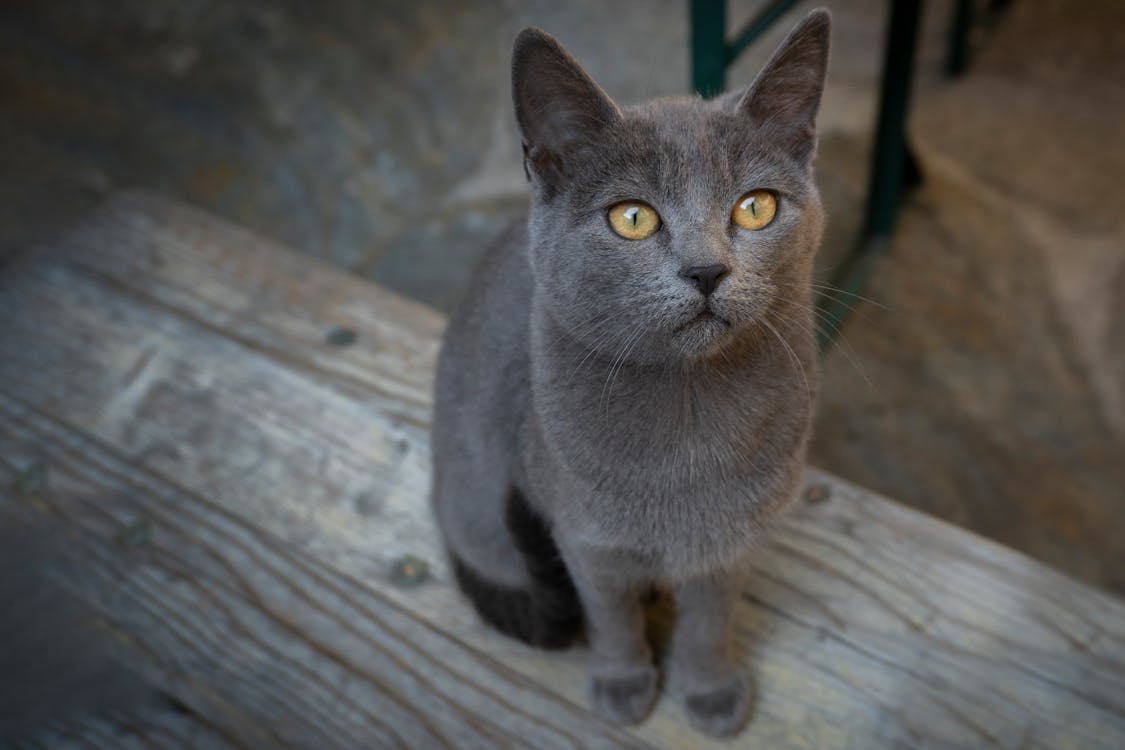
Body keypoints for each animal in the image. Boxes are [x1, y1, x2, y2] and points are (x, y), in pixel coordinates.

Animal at [427, 10, 828, 737]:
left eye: (755, 207)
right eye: (633, 218)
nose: (706, 269)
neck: (689, 420)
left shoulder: (731, 544)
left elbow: (709, 622)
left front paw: (710, 691)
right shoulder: (584, 538)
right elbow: (609, 617)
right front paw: (622, 684)